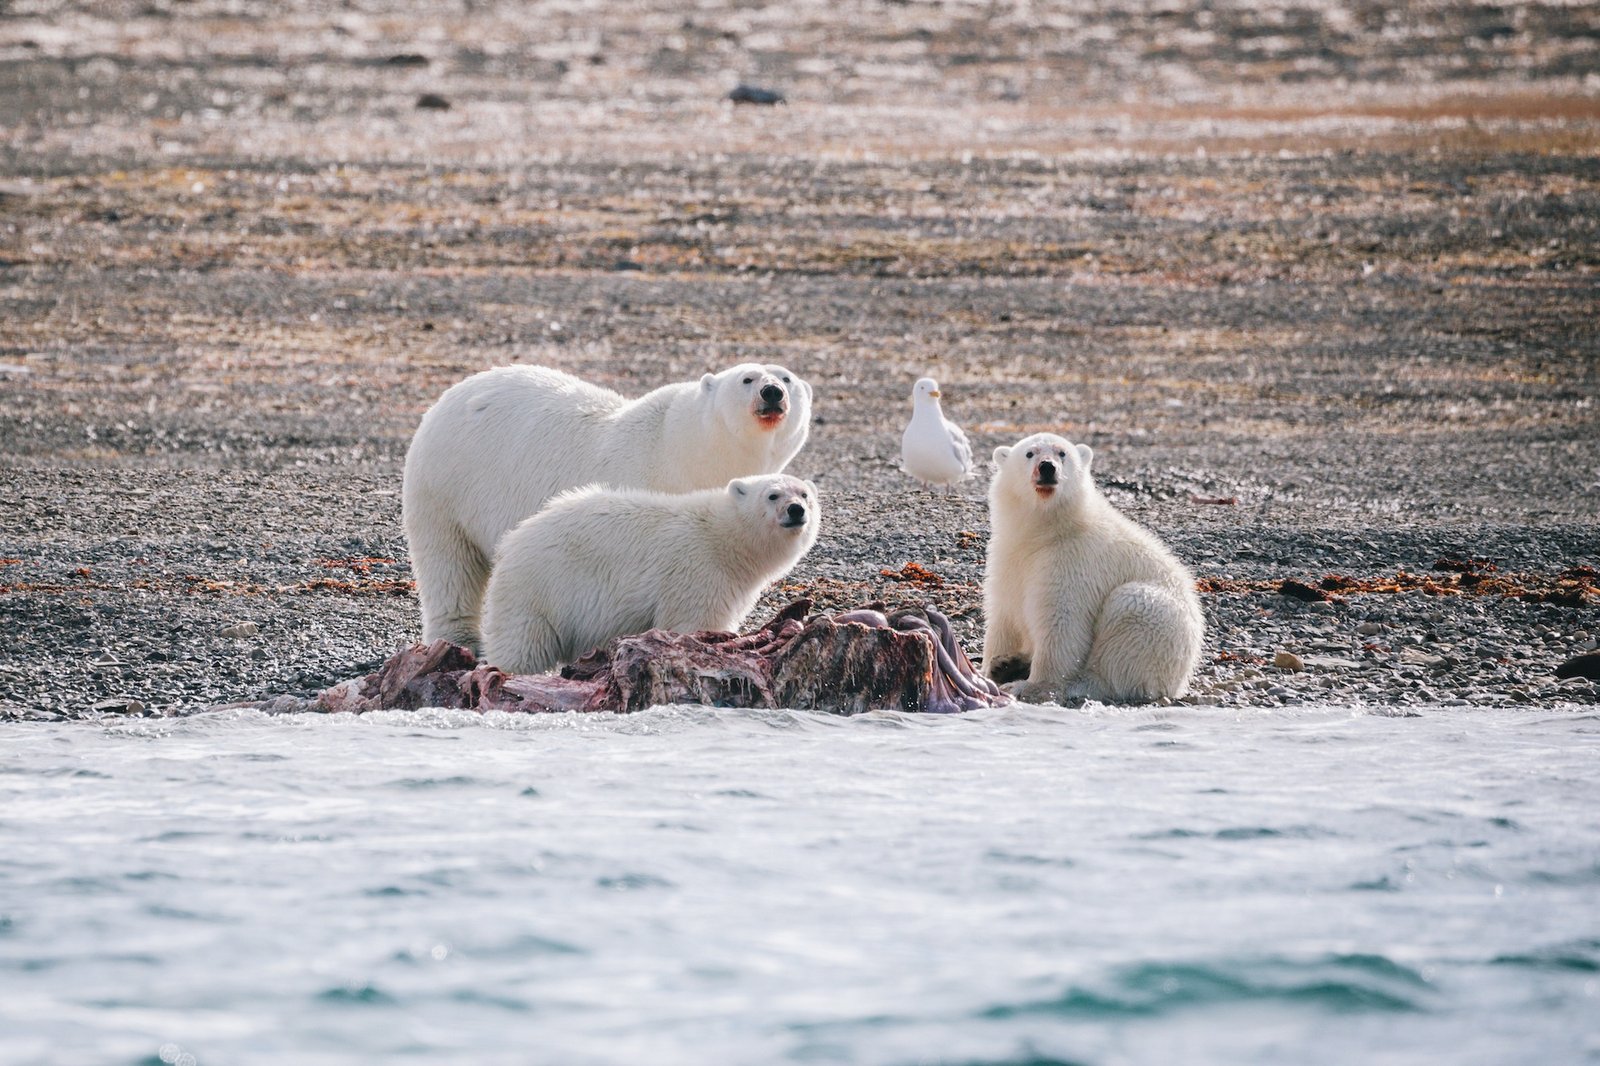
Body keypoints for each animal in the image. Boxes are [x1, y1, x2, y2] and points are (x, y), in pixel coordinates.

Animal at [402, 362, 812, 649]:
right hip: (446, 485)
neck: (688, 451)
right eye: (747, 378)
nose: (772, 392)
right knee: (449, 563)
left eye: (787, 378)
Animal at [480, 474, 821, 674]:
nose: (796, 510)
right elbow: (694, 623)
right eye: (773, 495)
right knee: (522, 645)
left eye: (804, 494)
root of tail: (512, 541)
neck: (725, 538)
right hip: (540, 587)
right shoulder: (697, 572)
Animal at [981, 433, 1205, 704]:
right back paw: (1010, 664)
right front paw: (993, 666)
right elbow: (1003, 615)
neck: (1045, 532)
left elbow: (1061, 620)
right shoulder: (1008, 556)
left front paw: (1030, 686)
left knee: (1127, 622)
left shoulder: (1073, 559)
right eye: (1029, 453)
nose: (1047, 467)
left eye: (1062, 453)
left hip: (1162, 629)